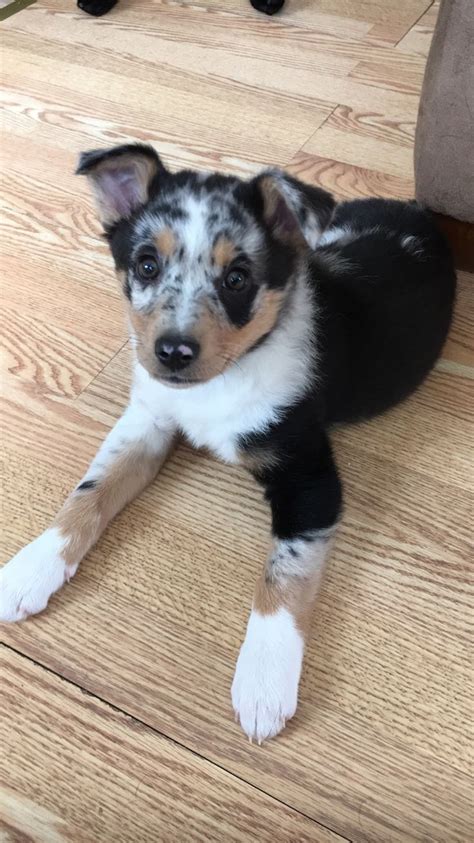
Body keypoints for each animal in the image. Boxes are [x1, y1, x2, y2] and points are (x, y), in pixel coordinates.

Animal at [1, 148, 458, 740]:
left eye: (238, 279)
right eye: (146, 265)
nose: (173, 352)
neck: (226, 376)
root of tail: (415, 210)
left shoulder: (309, 476)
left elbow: (286, 573)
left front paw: (264, 682)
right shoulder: (147, 420)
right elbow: (89, 490)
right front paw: (30, 568)